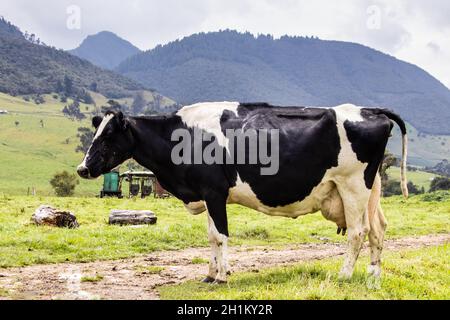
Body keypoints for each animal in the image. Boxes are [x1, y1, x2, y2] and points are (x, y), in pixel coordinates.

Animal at [77, 102, 408, 282]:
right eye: (96, 132)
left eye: (109, 135)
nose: (83, 168)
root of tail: (369, 109)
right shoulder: (207, 194)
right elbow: (212, 236)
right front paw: (210, 274)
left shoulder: (214, 192)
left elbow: (221, 235)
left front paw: (222, 276)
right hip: (370, 188)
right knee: (378, 229)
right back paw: (373, 276)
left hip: (352, 185)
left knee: (357, 232)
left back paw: (344, 275)